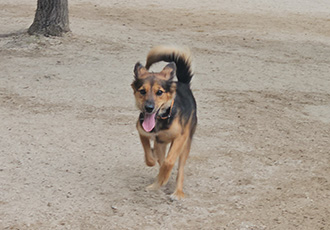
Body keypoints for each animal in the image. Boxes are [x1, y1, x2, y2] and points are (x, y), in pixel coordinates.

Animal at [131, 45, 199, 199]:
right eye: (142, 91)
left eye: (159, 92)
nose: (149, 108)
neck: (162, 118)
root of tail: (183, 83)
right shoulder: (142, 132)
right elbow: (150, 157)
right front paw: (154, 163)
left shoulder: (180, 138)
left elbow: (168, 162)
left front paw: (164, 177)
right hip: (160, 143)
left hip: (185, 144)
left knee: (179, 169)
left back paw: (177, 192)